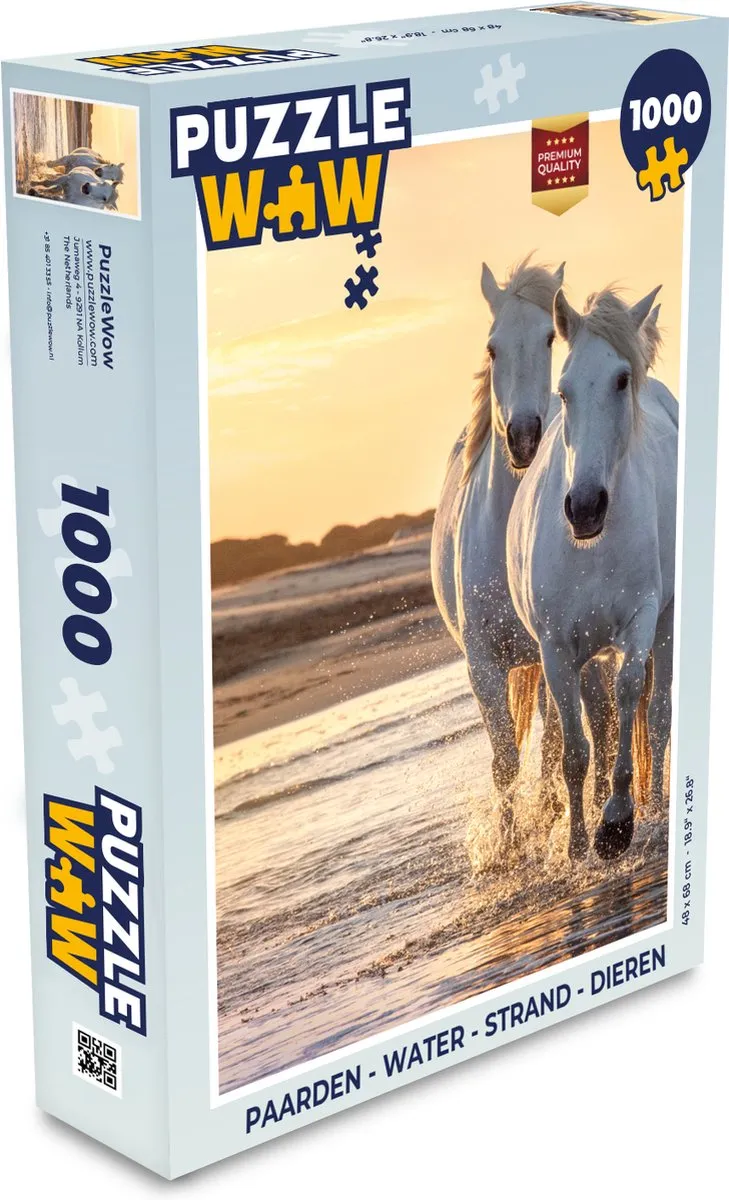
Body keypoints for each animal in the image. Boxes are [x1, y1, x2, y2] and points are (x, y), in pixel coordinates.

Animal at [507, 284, 677, 861]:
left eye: (622, 379)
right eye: (563, 392)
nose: (584, 508)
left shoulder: (642, 618)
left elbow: (629, 698)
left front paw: (617, 823)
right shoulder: (557, 648)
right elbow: (576, 747)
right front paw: (578, 843)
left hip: (665, 623)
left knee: (657, 716)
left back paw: (657, 809)